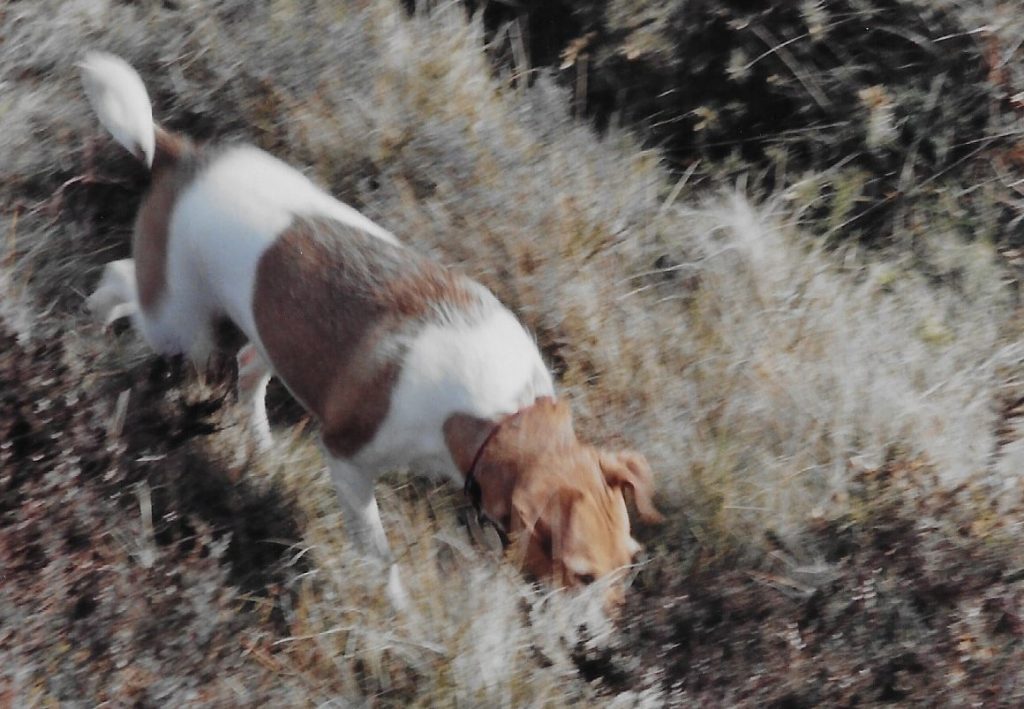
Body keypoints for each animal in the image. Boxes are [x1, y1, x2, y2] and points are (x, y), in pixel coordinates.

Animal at [79, 54, 663, 610]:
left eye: (629, 562)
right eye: (580, 574)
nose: (597, 643)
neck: (502, 415)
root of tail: (181, 154)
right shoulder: (347, 462)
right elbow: (379, 554)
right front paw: (396, 604)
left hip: (279, 337)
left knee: (246, 367)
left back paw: (261, 448)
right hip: (179, 322)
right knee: (116, 279)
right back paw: (91, 346)